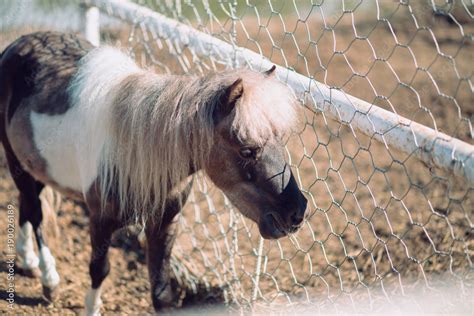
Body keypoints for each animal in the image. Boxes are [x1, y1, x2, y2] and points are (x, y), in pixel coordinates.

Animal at [0, 31, 308, 314]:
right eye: (246, 150)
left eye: (280, 139)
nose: (297, 211)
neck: (133, 147)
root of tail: (16, 45)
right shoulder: (100, 220)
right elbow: (99, 269)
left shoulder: (165, 222)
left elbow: (161, 292)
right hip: (17, 165)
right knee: (35, 213)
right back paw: (49, 279)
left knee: (26, 206)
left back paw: (28, 262)